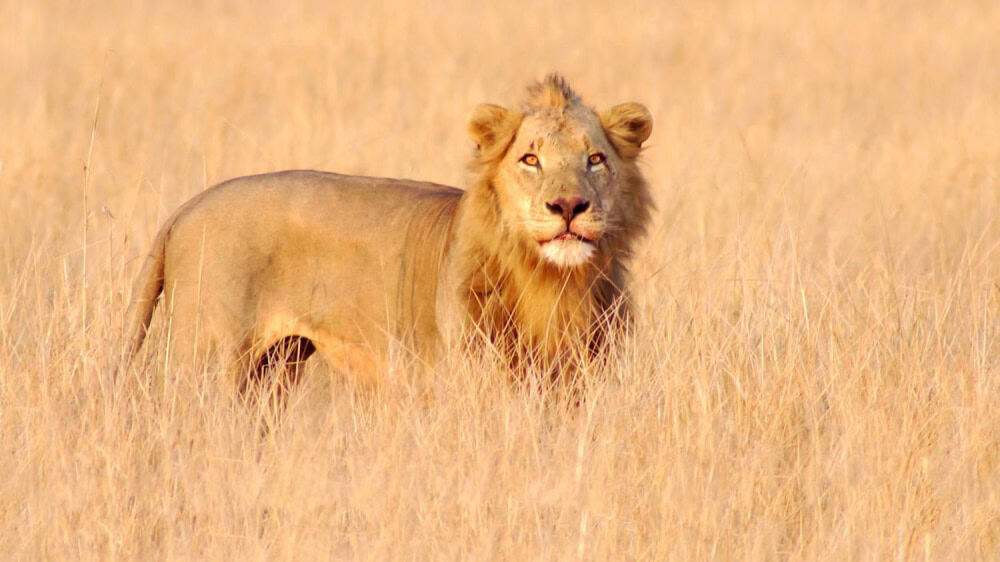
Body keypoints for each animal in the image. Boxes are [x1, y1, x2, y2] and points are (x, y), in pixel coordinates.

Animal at [121, 74, 653, 394]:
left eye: (595, 159)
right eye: (530, 158)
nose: (568, 207)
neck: (551, 281)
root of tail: (188, 207)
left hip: (275, 370)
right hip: (208, 359)